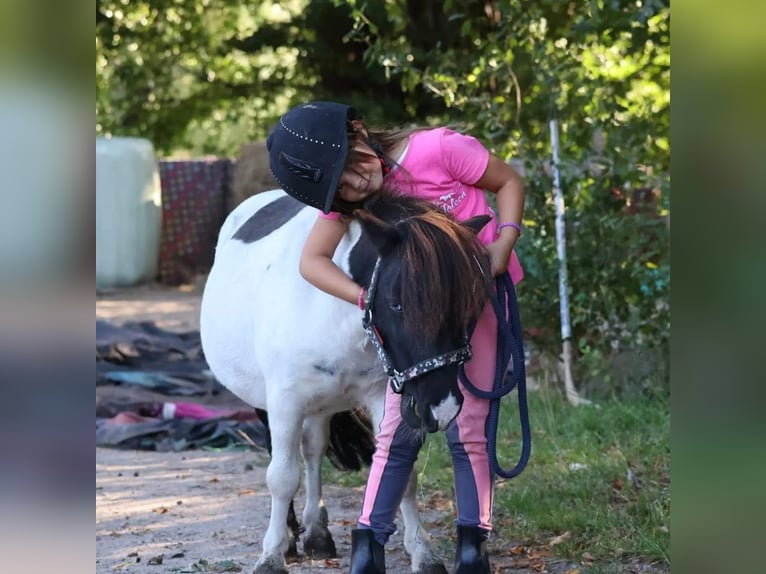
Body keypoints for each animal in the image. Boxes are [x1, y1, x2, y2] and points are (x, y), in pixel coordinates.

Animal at [201, 187, 496, 572]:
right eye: (397, 303)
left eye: (471, 305)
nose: (442, 406)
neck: (331, 308)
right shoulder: (284, 402)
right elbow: (281, 477)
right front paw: (271, 556)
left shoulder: (381, 396)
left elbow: (400, 474)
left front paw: (423, 554)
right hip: (265, 403)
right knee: (284, 457)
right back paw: (291, 539)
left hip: (323, 405)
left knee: (313, 451)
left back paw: (317, 534)